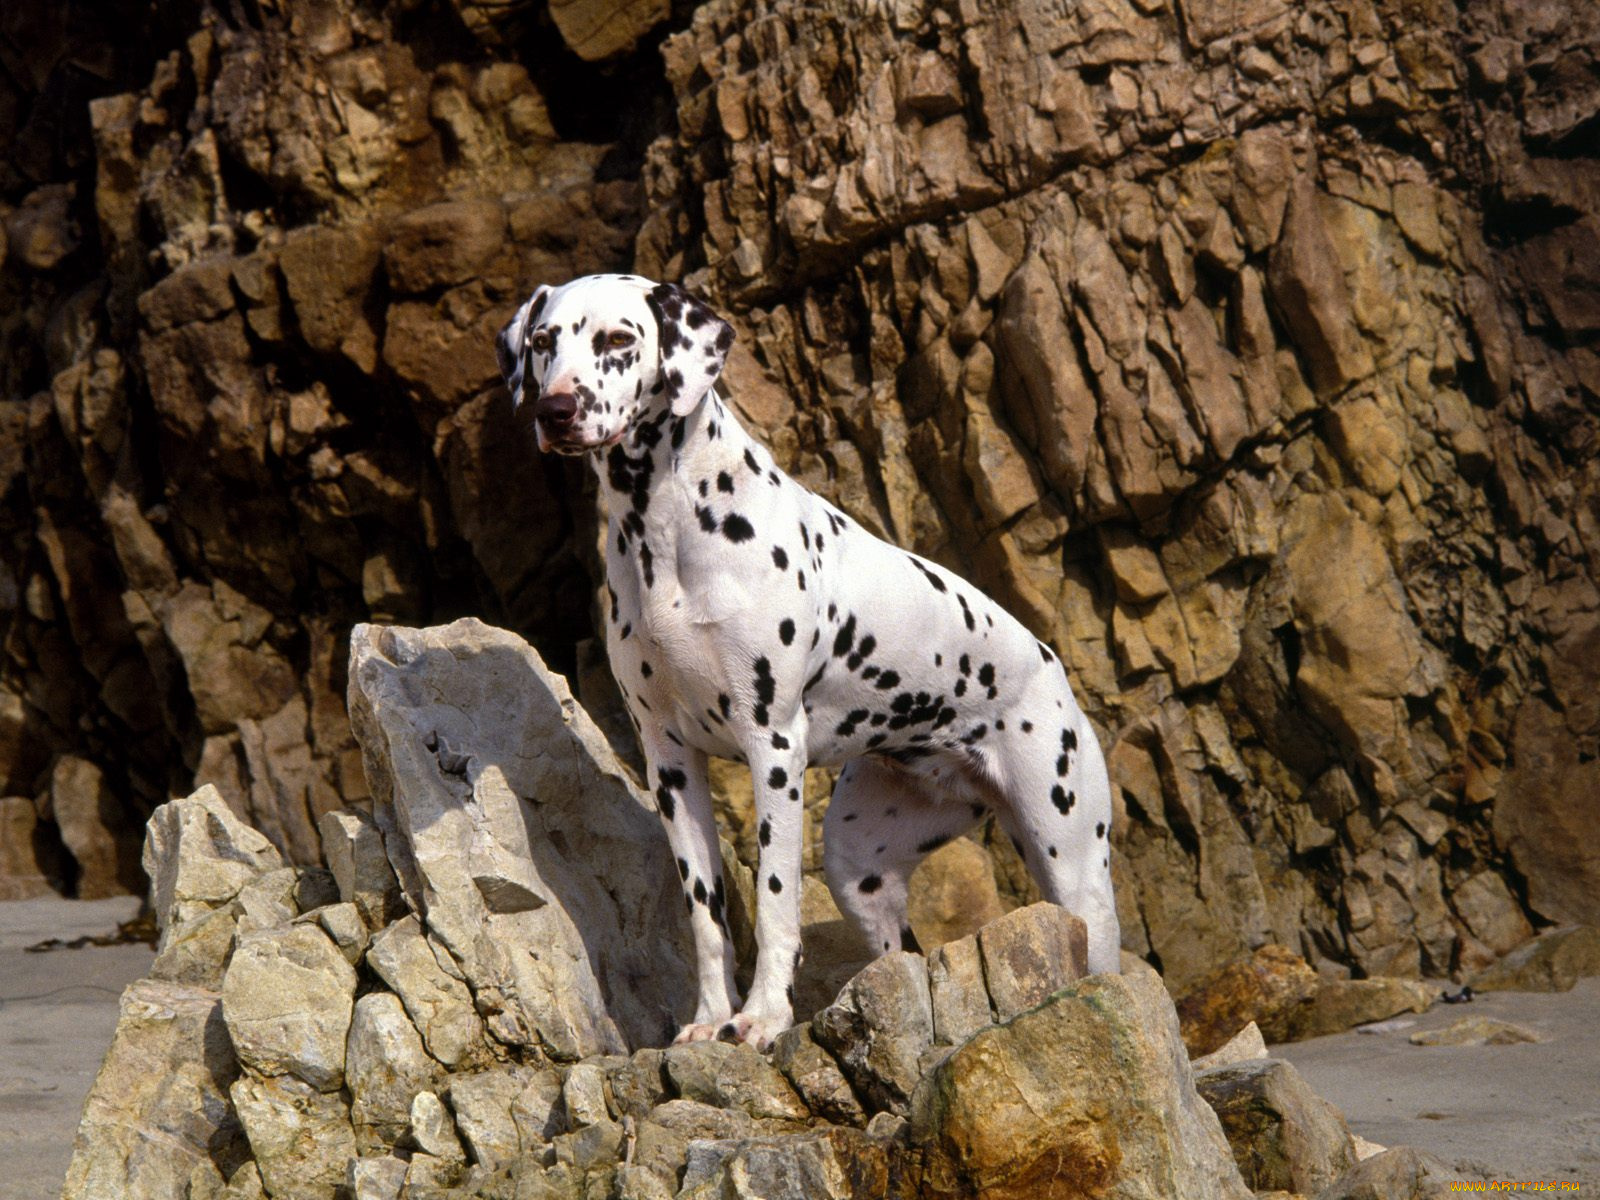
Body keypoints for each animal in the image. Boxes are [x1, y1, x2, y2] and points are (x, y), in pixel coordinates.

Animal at [492, 275, 1120, 1049]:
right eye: (544, 341)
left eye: (617, 339)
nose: (554, 409)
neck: (666, 530)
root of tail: (1051, 667)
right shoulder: (669, 762)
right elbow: (706, 916)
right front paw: (710, 1017)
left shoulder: (773, 749)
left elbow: (775, 901)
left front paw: (762, 1017)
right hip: (860, 869)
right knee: (898, 953)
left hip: (1072, 862)